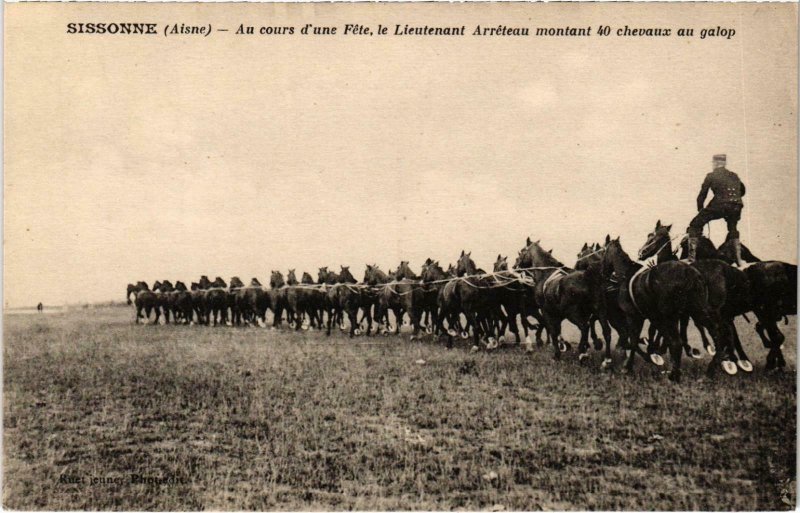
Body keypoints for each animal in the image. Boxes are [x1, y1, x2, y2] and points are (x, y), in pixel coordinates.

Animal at [600, 236, 724, 380]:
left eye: (604, 252)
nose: (603, 272)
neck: (626, 274)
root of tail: (689, 273)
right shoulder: (651, 318)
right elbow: (642, 338)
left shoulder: (633, 316)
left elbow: (634, 340)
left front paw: (628, 367)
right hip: (698, 311)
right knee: (715, 332)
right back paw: (713, 367)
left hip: (672, 316)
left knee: (677, 342)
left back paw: (674, 375)